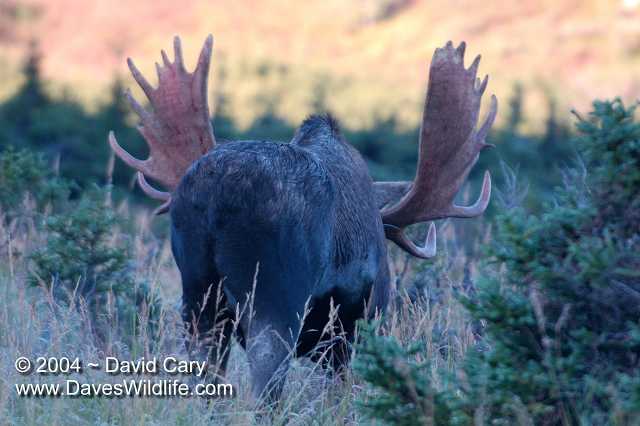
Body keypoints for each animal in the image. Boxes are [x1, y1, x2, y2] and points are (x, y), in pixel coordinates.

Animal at [107, 35, 498, 402]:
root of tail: (219, 194)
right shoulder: (351, 326)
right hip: (277, 291)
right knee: (266, 370)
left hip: (197, 292)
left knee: (206, 367)